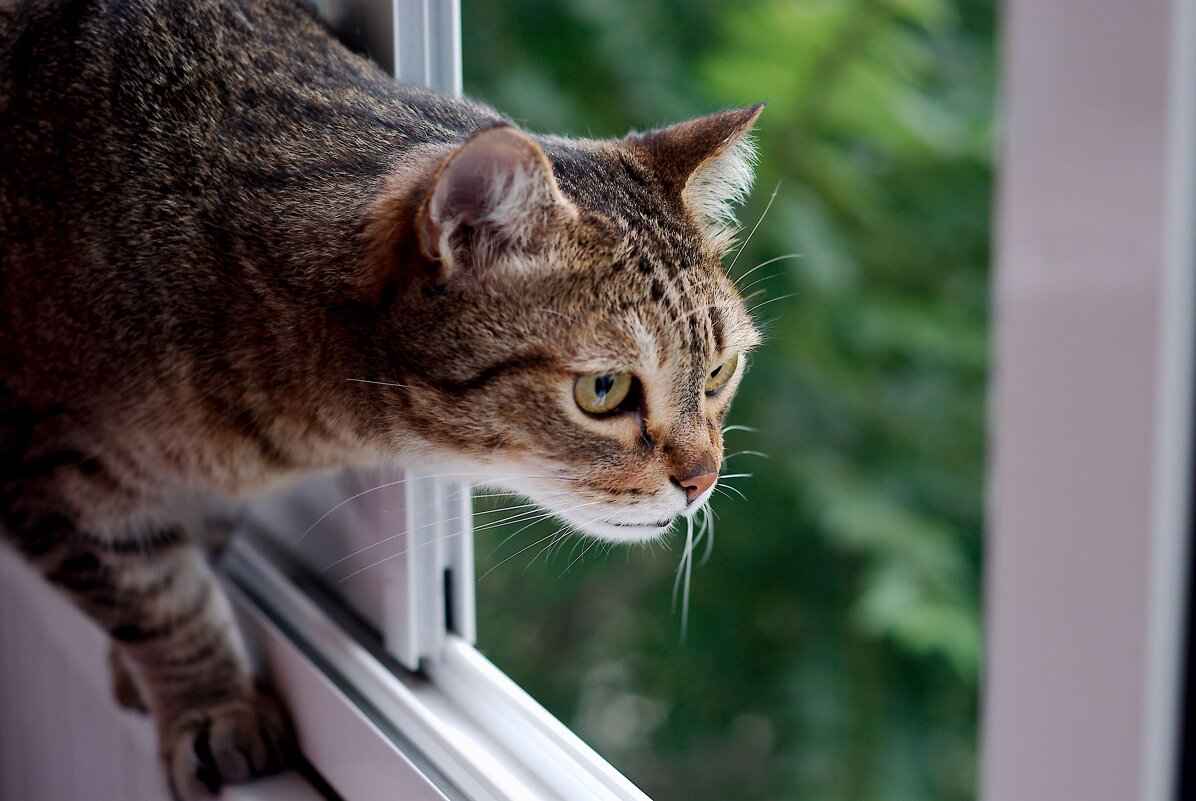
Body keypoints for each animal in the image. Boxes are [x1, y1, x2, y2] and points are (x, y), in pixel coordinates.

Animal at [0, 0, 760, 798]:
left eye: (718, 372)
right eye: (603, 390)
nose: (702, 479)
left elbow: (184, 562)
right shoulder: (40, 468)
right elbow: (159, 600)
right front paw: (213, 702)